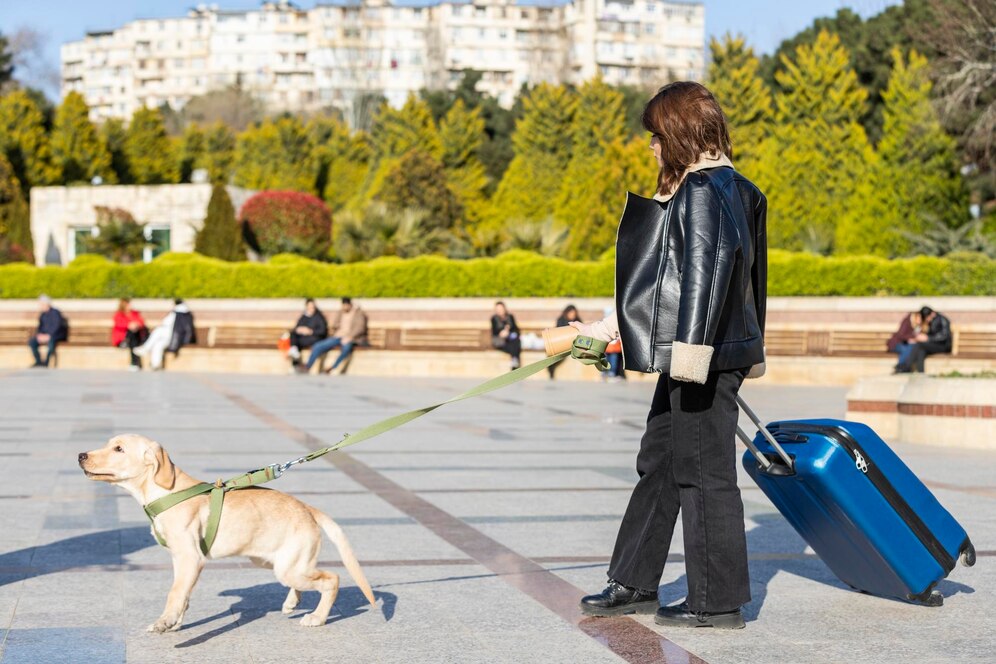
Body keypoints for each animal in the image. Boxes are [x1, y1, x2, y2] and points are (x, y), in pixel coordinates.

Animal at [78, 436, 374, 632]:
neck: (166, 493)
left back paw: (318, 617)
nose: (80, 455)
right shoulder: (182, 561)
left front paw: (165, 621)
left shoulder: (190, 558)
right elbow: (183, 592)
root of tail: (308, 508)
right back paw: (292, 602)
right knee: (311, 579)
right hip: (275, 561)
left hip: (289, 567)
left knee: (332, 579)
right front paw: (176, 621)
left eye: (118, 449)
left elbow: (175, 592)